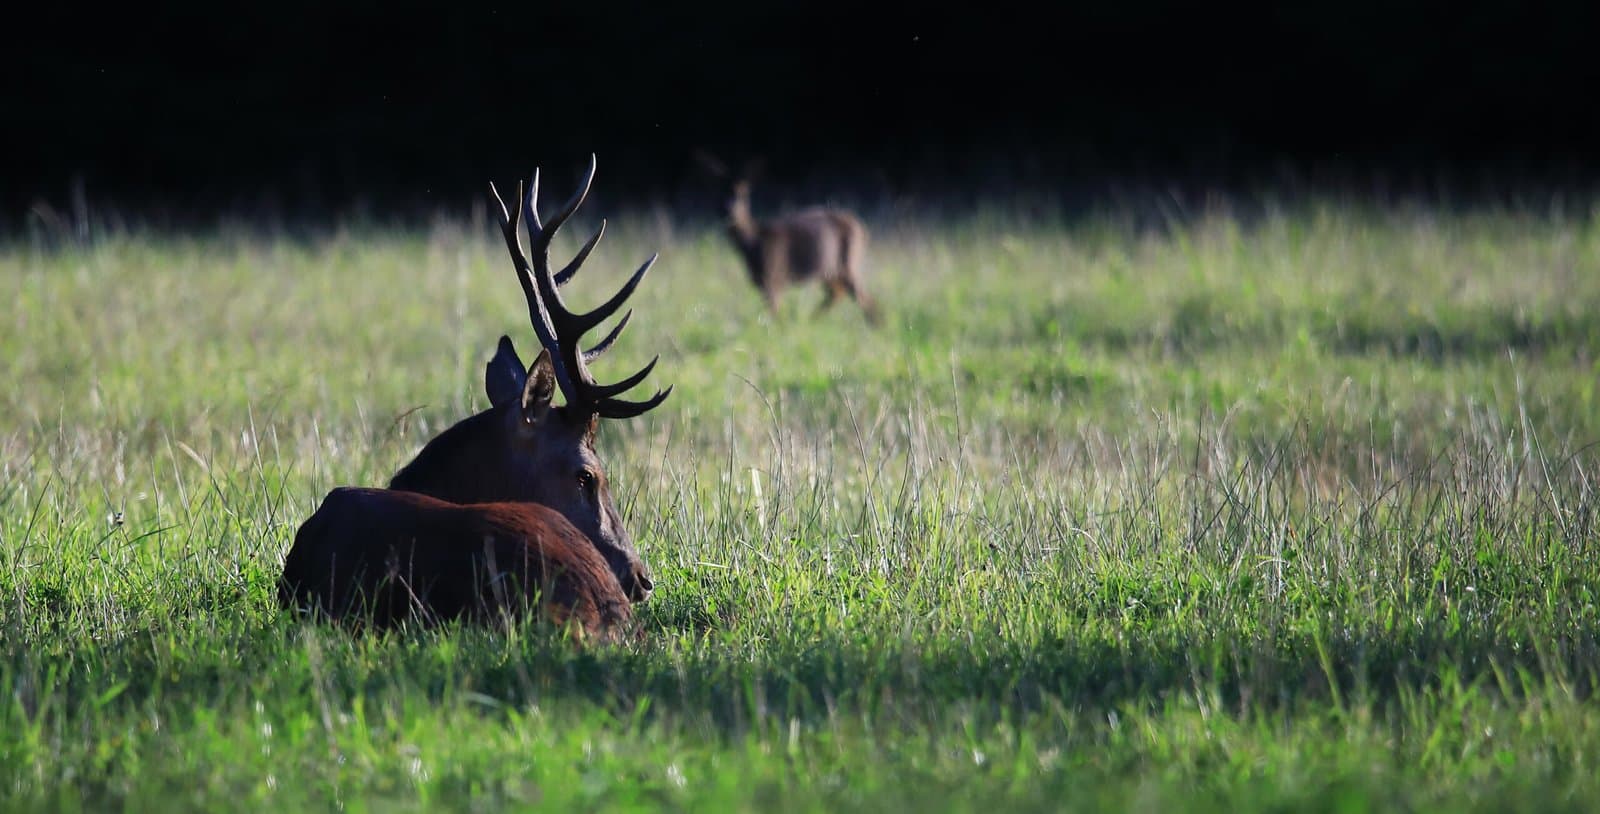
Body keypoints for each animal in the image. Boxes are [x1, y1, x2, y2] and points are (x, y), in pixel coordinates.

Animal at [695, 152, 879, 324]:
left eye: (743, 193)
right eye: (718, 193)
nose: (729, 210)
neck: (754, 244)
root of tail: (862, 228)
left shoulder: (774, 278)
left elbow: (774, 315)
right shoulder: (764, 283)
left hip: (849, 261)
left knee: (864, 299)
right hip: (829, 269)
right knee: (838, 293)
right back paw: (812, 319)